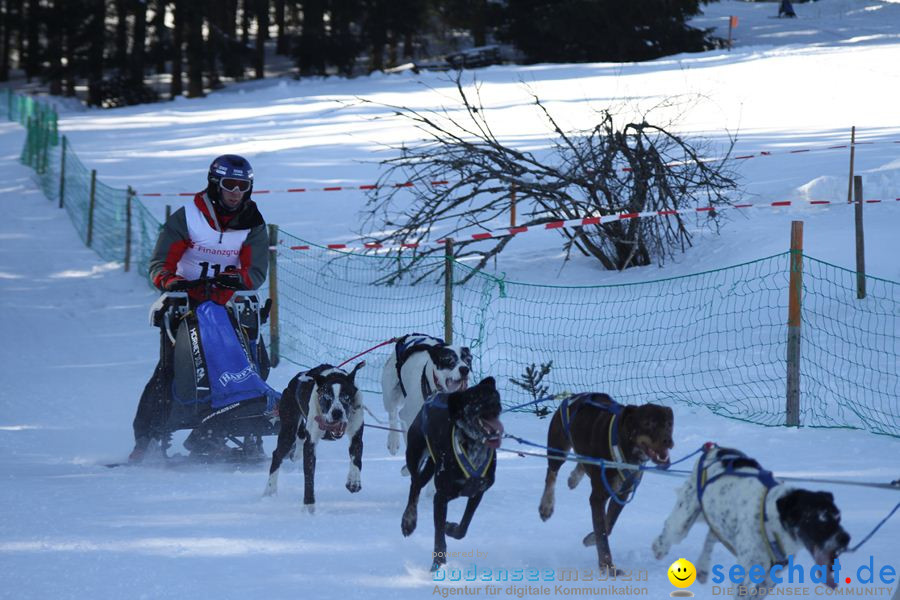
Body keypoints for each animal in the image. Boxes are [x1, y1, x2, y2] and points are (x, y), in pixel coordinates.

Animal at [264, 360, 366, 510]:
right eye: (326, 397)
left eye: (346, 397)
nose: (337, 413)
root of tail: (292, 382)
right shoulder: (311, 445)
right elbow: (309, 476)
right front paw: (309, 506)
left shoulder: (356, 437)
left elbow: (356, 460)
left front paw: (354, 482)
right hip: (288, 430)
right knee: (277, 455)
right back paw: (270, 490)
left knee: (299, 440)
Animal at [402, 376, 506, 572]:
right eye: (477, 398)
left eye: (494, 394)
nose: (495, 404)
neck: (473, 444)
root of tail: (432, 397)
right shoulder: (441, 497)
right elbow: (438, 537)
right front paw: (438, 565)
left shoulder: (477, 492)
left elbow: (463, 527)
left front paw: (450, 527)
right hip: (414, 453)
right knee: (414, 485)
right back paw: (408, 521)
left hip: (431, 464)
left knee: (419, 482)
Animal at [536, 394, 672, 572]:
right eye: (648, 423)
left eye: (669, 424)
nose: (668, 440)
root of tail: (574, 396)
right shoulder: (598, 497)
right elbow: (602, 533)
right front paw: (607, 567)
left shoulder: (622, 494)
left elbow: (608, 525)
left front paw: (591, 538)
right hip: (558, 449)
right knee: (551, 474)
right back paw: (546, 506)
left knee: (582, 462)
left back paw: (574, 478)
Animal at [652, 442, 852, 596]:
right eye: (820, 518)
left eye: (838, 516)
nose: (846, 539)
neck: (770, 524)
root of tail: (714, 449)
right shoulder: (744, 578)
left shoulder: (769, 579)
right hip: (682, 521)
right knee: (670, 530)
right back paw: (659, 548)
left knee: (711, 536)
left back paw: (702, 568)